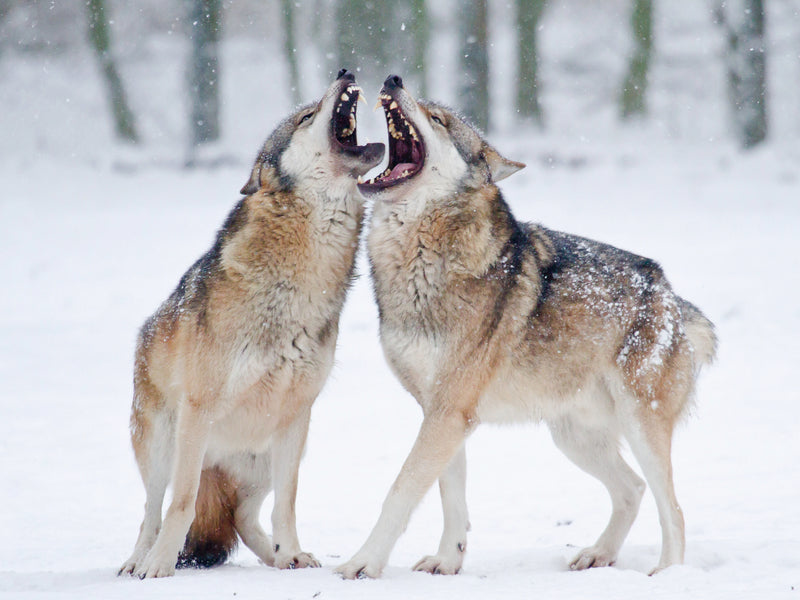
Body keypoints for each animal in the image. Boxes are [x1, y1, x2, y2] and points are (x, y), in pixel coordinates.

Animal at [118, 70, 384, 579]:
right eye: (305, 116)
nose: (344, 72)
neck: (297, 280)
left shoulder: (297, 415)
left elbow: (288, 505)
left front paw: (293, 552)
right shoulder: (198, 410)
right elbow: (180, 505)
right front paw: (159, 565)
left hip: (263, 457)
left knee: (242, 516)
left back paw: (278, 558)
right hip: (162, 444)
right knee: (151, 510)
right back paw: (138, 561)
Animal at [336, 75, 716, 579]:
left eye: (438, 119)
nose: (394, 79)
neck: (417, 261)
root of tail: (669, 294)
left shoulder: (448, 412)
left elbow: (400, 492)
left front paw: (362, 564)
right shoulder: (442, 413)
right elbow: (450, 496)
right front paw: (447, 561)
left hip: (641, 428)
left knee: (672, 508)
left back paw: (667, 574)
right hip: (572, 438)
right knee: (632, 491)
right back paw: (599, 554)